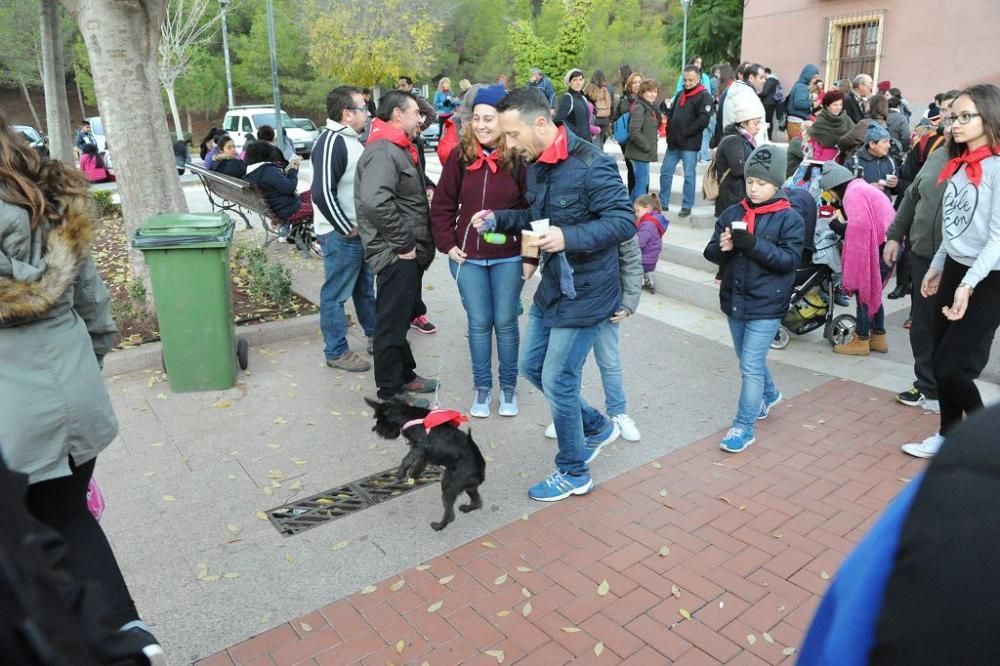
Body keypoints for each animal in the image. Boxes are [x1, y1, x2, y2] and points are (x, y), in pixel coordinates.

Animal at [368, 394, 488, 528]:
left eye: (379, 419)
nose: (374, 429)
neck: (408, 415)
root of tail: (480, 473)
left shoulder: (420, 445)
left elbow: (406, 460)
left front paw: (400, 474)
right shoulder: (423, 453)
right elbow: (419, 463)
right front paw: (413, 475)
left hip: (449, 486)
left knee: (451, 515)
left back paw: (439, 526)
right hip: (468, 487)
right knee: (477, 502)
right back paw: (467, 508)